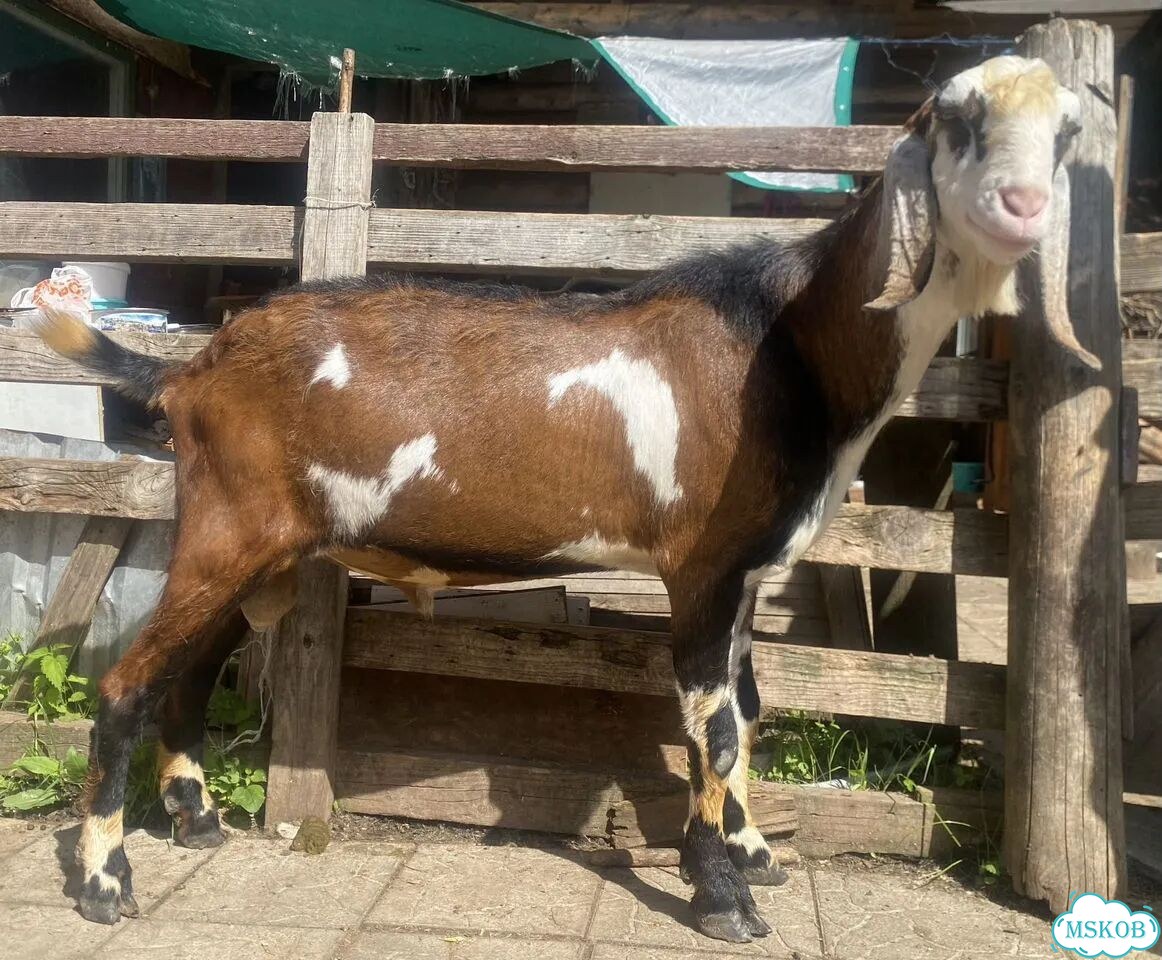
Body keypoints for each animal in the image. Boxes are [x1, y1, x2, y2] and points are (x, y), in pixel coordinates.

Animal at [37, 55, 1083, 942]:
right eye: (957, 118)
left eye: (1070, 131)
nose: (1026, 206)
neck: (783, 345)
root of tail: (191, 371)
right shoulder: (701, 567)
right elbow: (714, 728)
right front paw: (723, 895)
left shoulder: (748, 573)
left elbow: (747, 708)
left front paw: (752, 853)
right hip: (228, 528)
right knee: (127, 684)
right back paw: (104, 882)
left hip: (268, 551)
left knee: (193, 669)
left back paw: (198, 821)